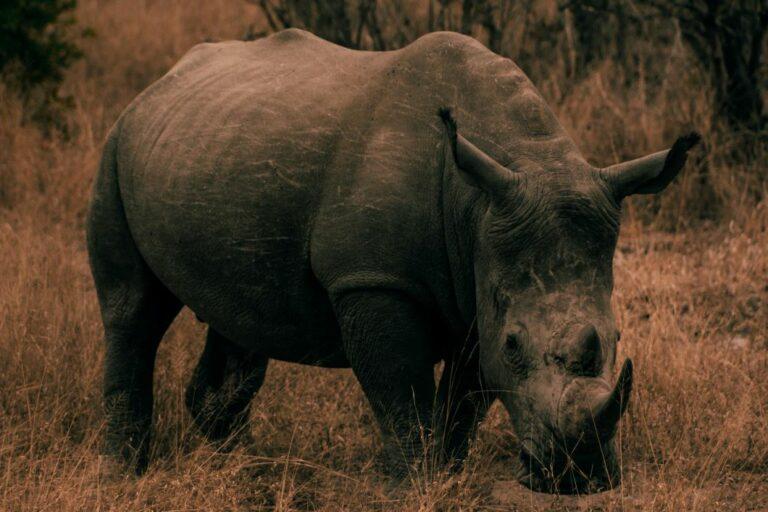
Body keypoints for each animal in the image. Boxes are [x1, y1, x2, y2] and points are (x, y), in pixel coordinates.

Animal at [87, 29, 698, 493]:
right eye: (515, 345)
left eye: (617, 338)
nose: (578, 479)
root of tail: (160, 83)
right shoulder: (374, 280)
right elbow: (401, 392)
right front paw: (415, 487)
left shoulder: (478, 289)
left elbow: (465, 400)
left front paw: (448, 478)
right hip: (116, 146)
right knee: (132, 310)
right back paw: (123, 474)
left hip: (212, 149)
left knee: (240, 318)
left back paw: (243, 471)